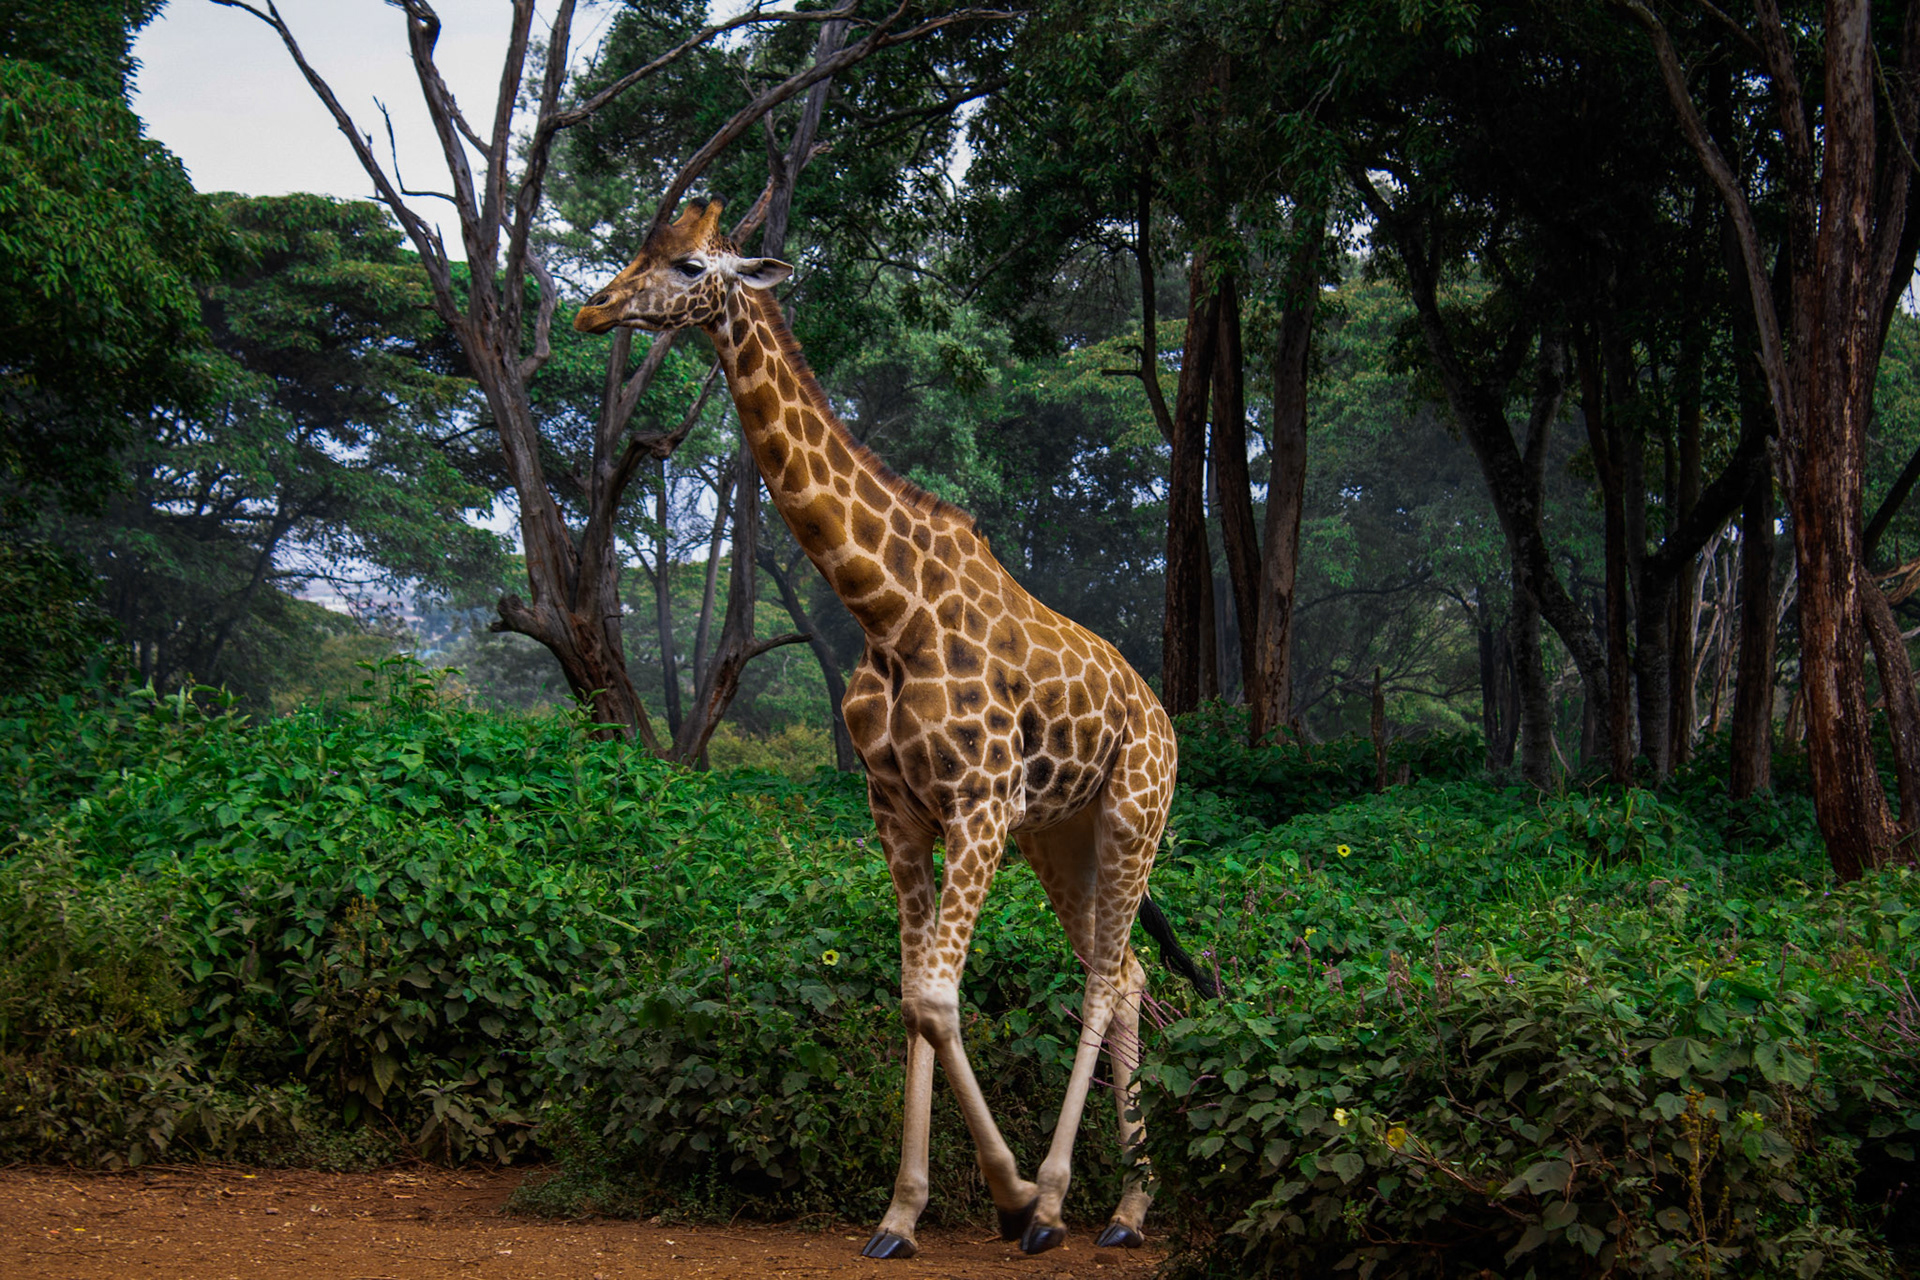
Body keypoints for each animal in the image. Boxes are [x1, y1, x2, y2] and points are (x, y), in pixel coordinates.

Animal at [573, 199, 1215, 1258]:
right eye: (638, 249)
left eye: (691, 264)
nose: (594, 310)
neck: (886, 610)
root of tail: (1161, 715)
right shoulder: (901, 813)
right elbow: (915, 1002)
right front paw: (903, 1214)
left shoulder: (980, 804)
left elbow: (936, 997)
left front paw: (1012, 1197)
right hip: (1062, 835)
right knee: (1120, 972)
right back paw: (1127, 1207)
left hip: (1133, 814)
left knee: (1101, 980)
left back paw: (1062, 1199)